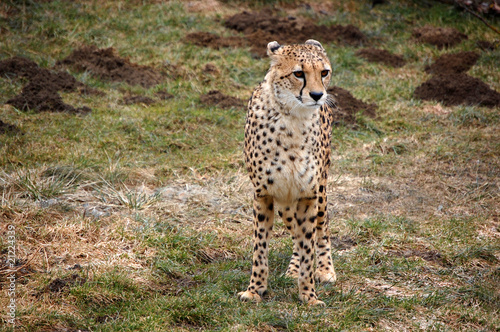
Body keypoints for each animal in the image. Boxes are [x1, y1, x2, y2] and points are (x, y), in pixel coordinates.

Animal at [237, 39, 336, 306]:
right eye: (298, 73)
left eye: (324, 72)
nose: (317, 95)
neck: (293, 118)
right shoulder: (264, 194)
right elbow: (260, 247)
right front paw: (255, 290)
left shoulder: (308, 195)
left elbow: (309, 247)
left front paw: (309, 296)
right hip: (286, 201)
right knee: (295, 231)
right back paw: (293, 269)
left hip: (319, 191)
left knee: (321, 230)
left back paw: (325, 269)